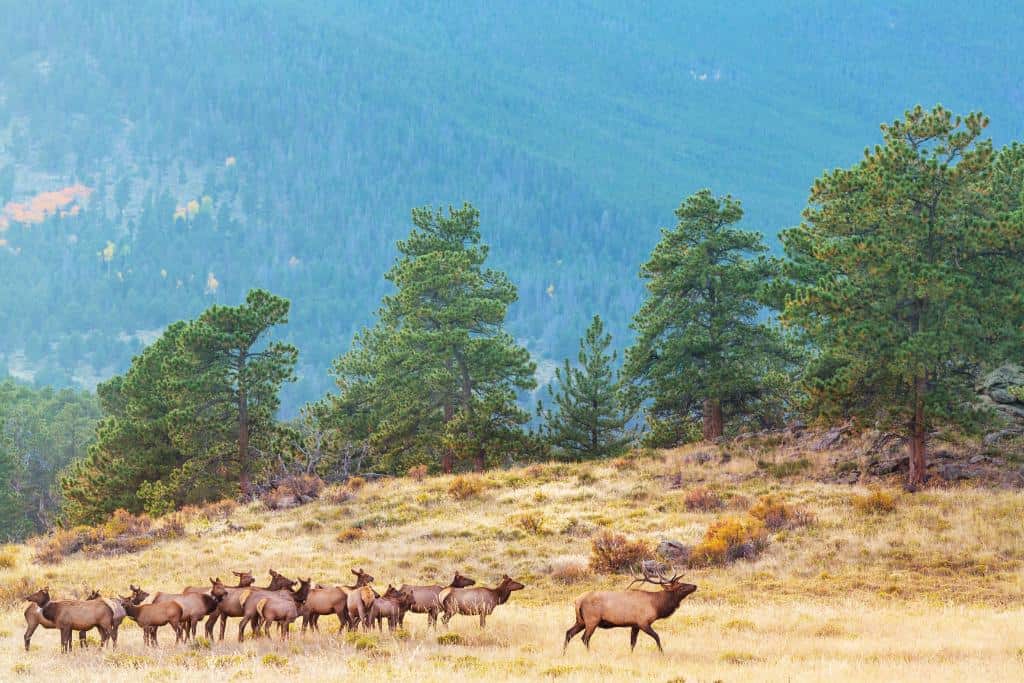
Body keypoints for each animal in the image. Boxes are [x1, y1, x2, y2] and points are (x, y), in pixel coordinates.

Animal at [562, 570, 697, 653]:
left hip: (580, 621)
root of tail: (577, 600)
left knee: (569, 633)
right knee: (585, 638)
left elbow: (632, 642)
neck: (657, 606)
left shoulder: (634, 624)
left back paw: (563, 652)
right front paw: (662, 652)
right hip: (592, 620)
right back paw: (589, 653)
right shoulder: (643, 622)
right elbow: (657, 637)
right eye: (681, 586)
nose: (695, 586)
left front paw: (631, 654)